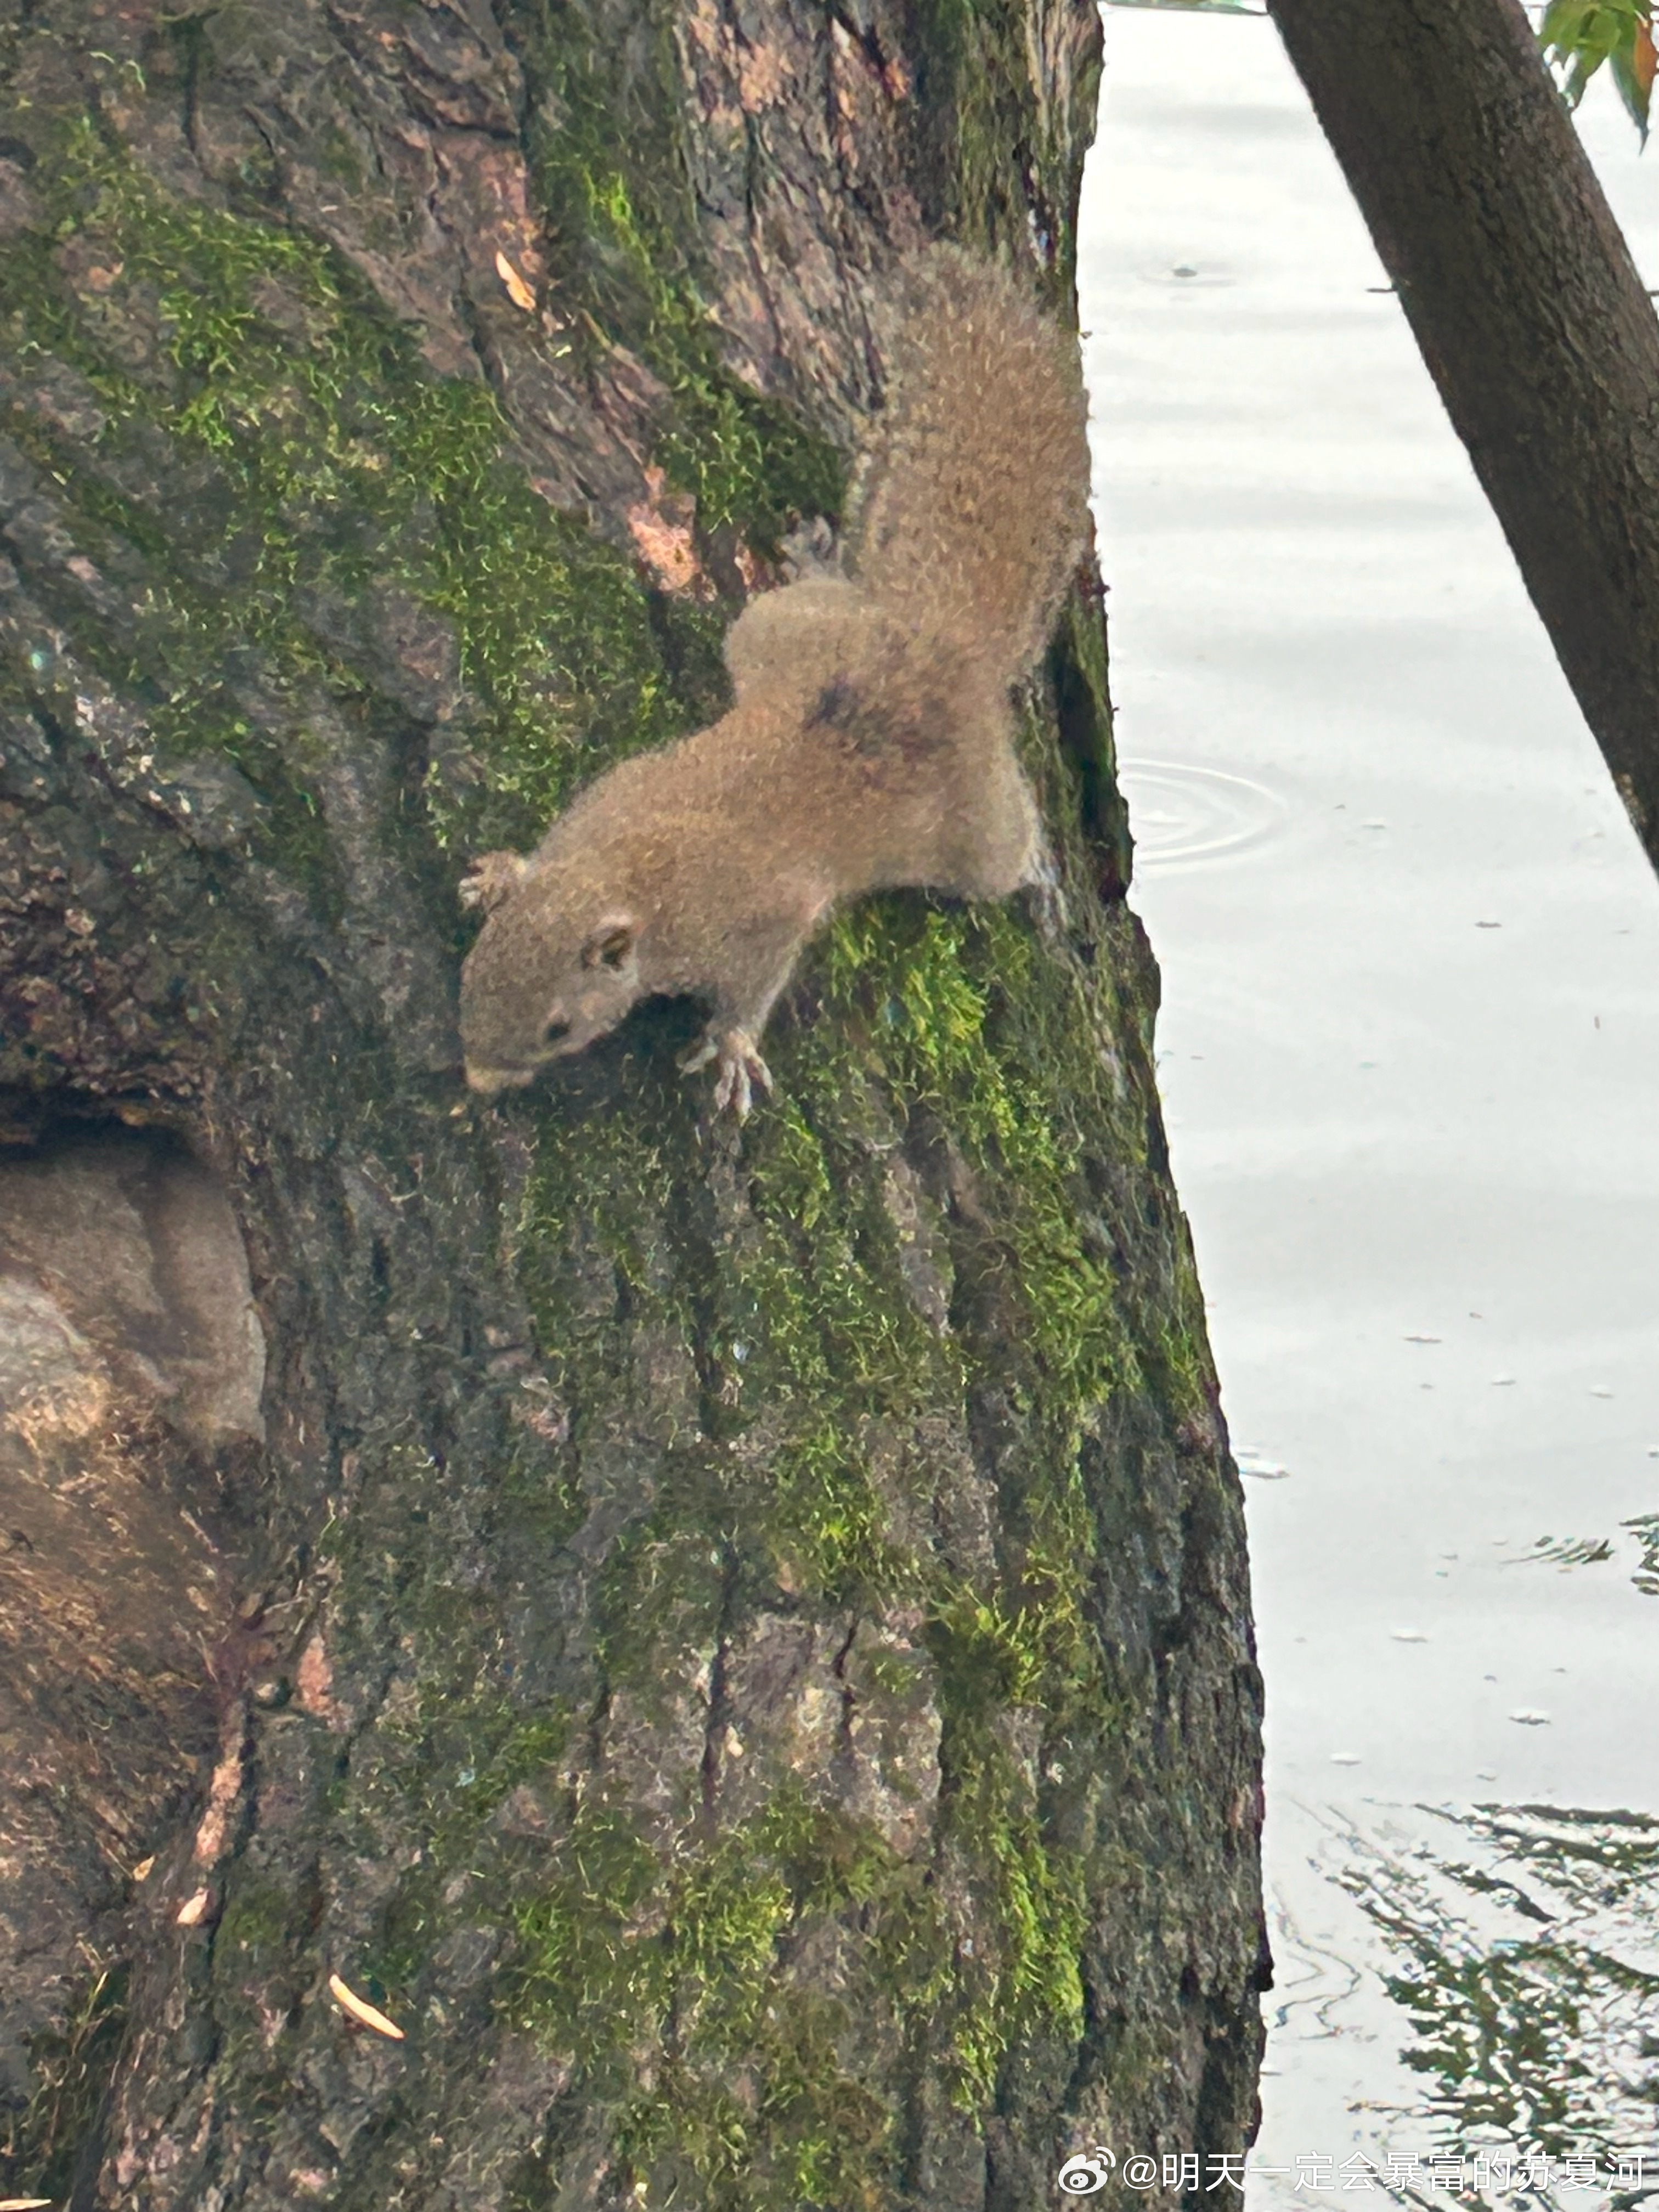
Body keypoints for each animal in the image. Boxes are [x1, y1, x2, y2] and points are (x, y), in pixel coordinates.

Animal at [462, 249, 1097, 1115]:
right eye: (474, 966)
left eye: (558, 1027)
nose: (478, 1079)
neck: (628, 869)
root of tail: (936, 645)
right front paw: (500, 872)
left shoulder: (755, 921)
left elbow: (757, 981)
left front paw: (731, 1048)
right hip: (775, 632)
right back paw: (817, 558)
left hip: (972, 824)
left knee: (1009, 841)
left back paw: (1036, 872)